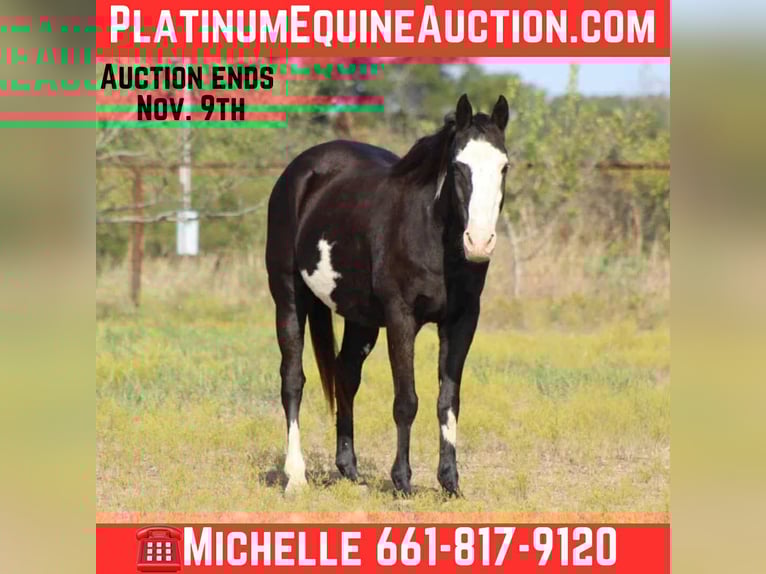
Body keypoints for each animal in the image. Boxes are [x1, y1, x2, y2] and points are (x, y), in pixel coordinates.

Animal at [265, 94, 509, 496]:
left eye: (504, 167)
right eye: (458, 167)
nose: (479, 242)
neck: (430, 232)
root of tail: (302, 170)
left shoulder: (461, 321)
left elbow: (448, 400)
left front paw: (450, 483)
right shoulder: (401, 317)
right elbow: (406, 401)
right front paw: (403, 482)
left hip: (360, 318)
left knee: (346, 373)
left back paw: (350, 471)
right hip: (288, 297)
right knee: (292, 380)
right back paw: (296, 477)